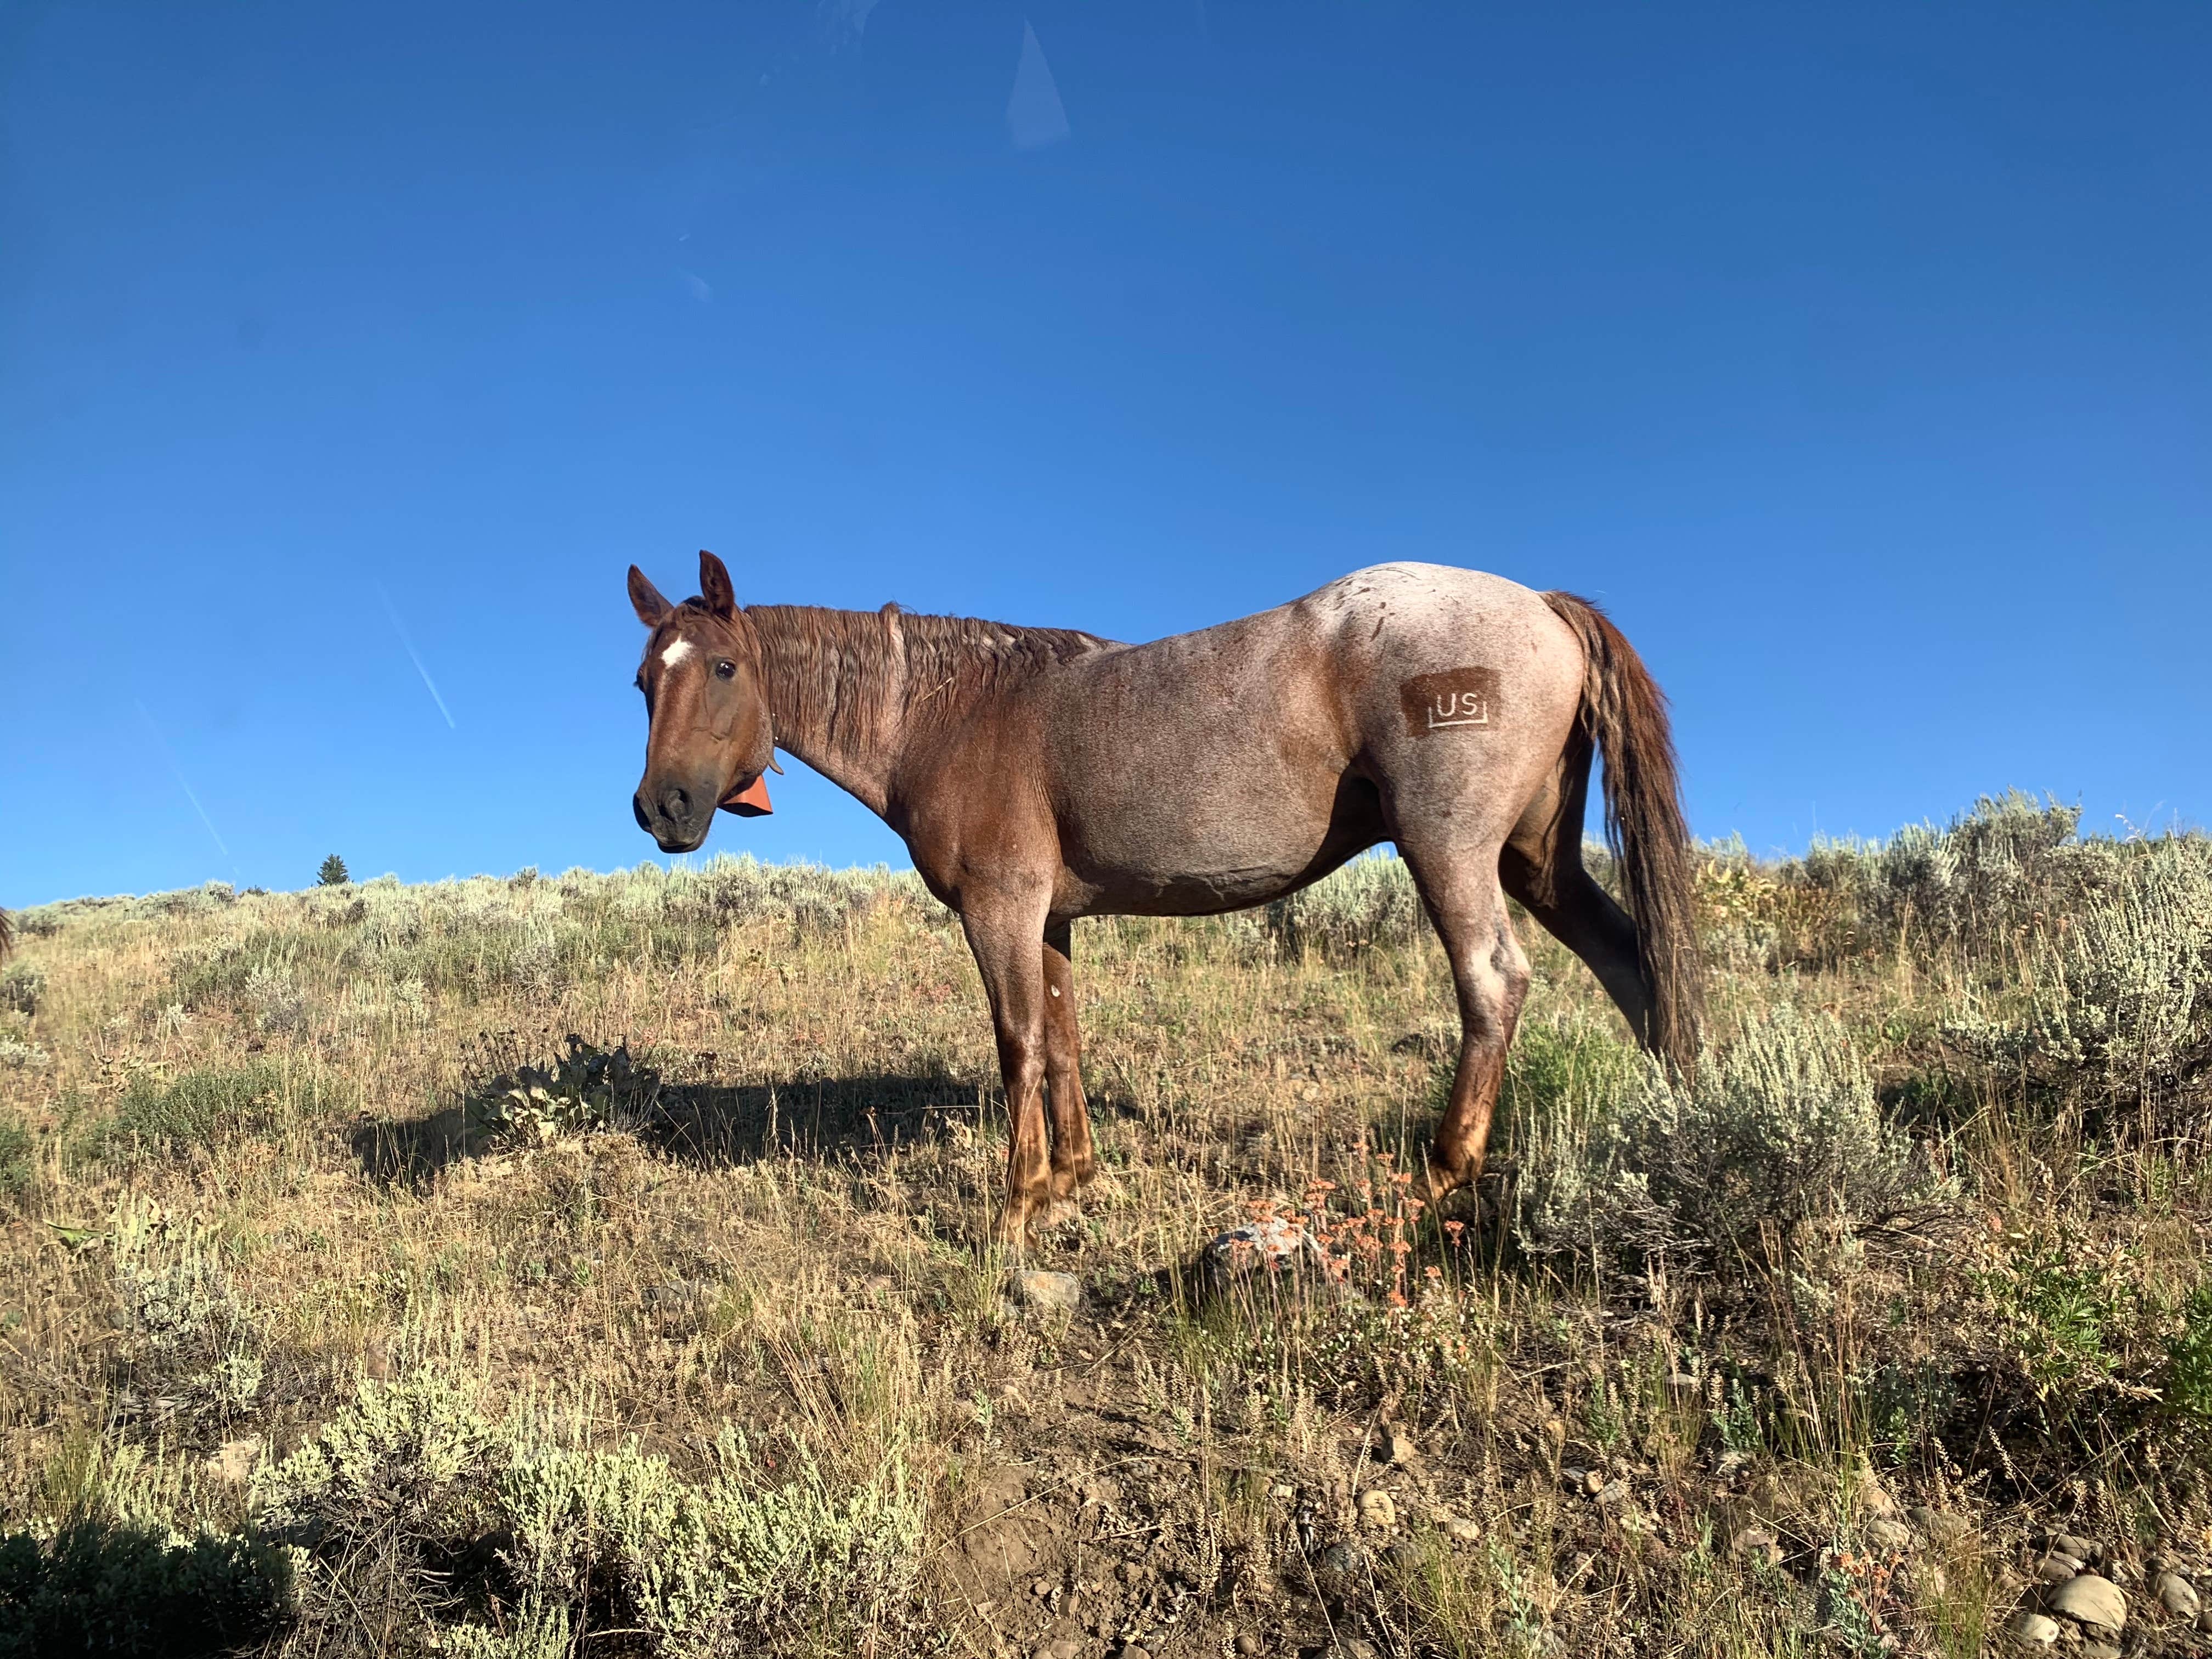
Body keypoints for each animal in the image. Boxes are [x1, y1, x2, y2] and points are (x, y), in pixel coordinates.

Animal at [626, 551, 1700, 1241]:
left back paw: (1441, 1170)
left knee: (1493, 982)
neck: (956, 711)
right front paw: (1070, 1180)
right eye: (643, 681)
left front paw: (1015, 1204)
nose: (661, 807)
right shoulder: (1050, 917)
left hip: (1453, 852)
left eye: (722, 666)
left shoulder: (999, 909)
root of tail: (1544, 604)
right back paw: (1672, 1112)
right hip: (1536, 861)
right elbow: (1063, 1038)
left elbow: (1018, 1040)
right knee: (1630, 960)